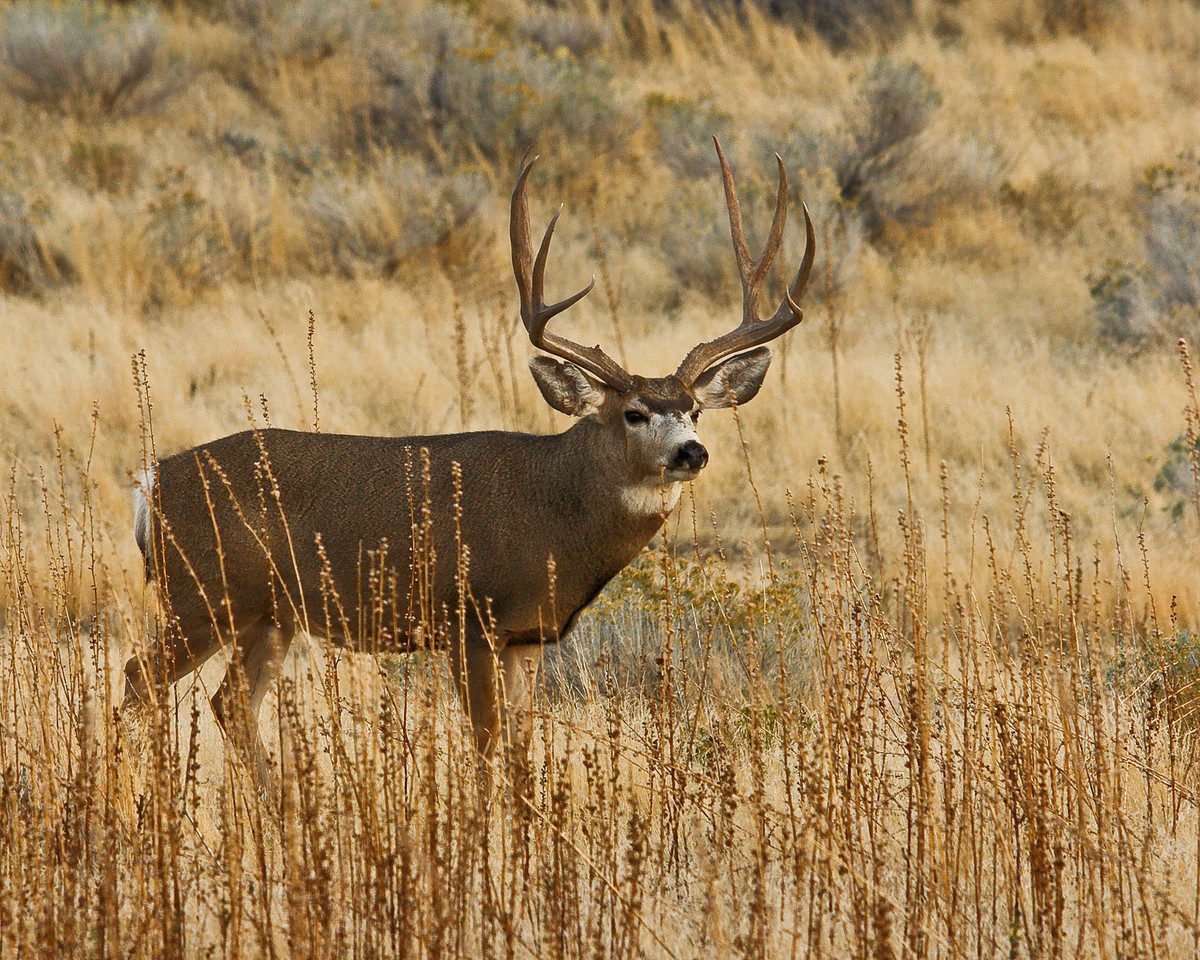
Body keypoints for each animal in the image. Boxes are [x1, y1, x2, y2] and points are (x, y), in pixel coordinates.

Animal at [124, 140, 816, 787]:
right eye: (634, 413)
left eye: (695, 409)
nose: (691, 451)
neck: (555, 516)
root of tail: (151, 484)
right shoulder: (471, 622)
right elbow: (486, 750)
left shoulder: (527, 637)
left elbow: (519, 754)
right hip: (202, 592)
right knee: (140, 677)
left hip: (267, 613)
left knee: (230, 705)